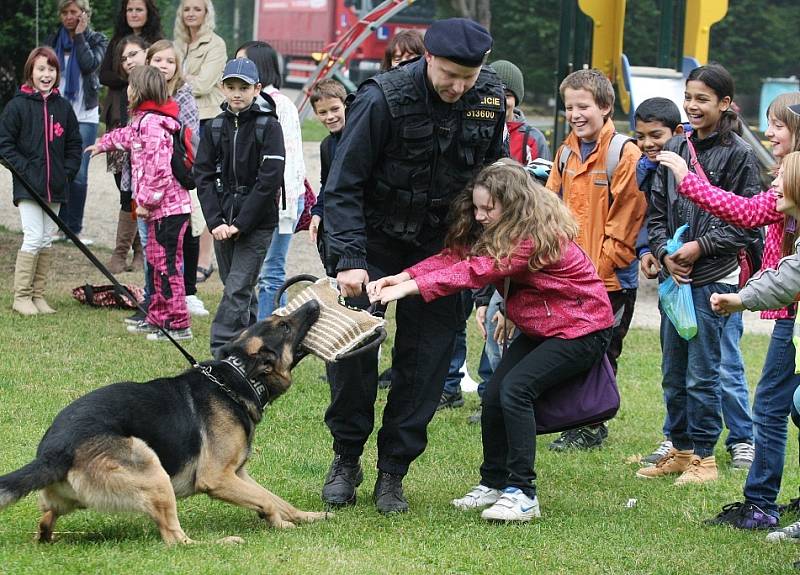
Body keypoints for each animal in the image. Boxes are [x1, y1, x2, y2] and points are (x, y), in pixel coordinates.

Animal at [0, 302, 328, 544]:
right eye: (284, 325)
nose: (314, 303)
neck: (238, 378)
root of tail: (55, 450)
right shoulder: (218, 478)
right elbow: (267, 500)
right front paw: (279, 524)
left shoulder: (238, 474)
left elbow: (274, 497)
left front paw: (306, 516)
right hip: (151, 467)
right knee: (176, 539)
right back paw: (219, 542)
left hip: (65, 501)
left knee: (44, 523)